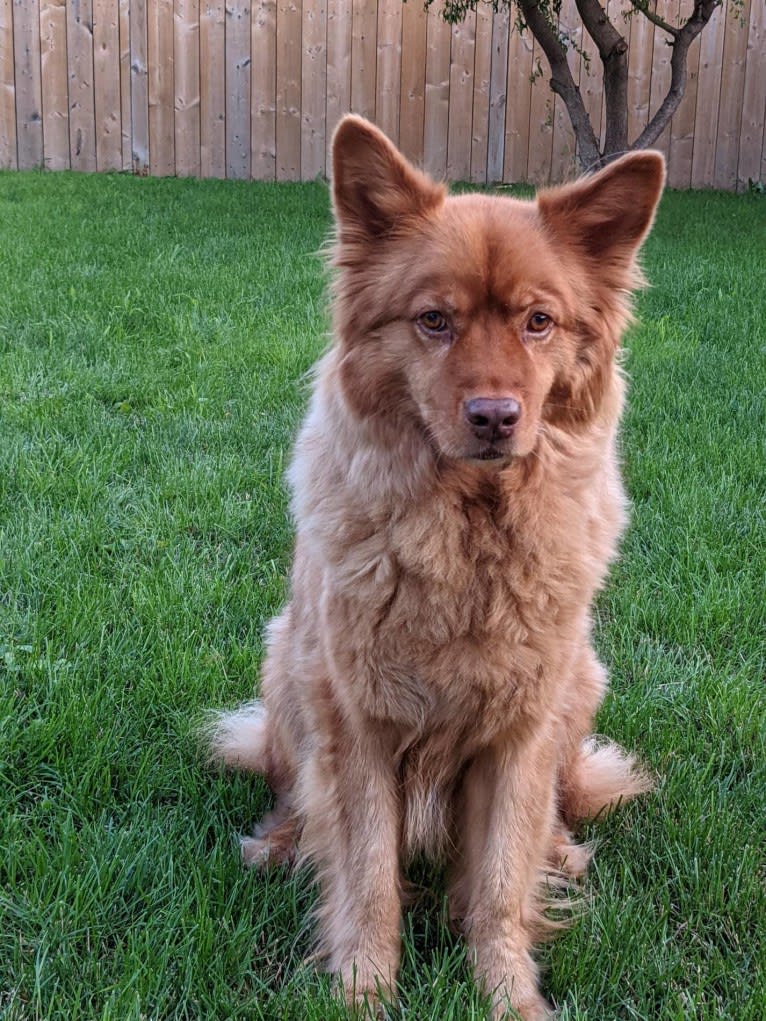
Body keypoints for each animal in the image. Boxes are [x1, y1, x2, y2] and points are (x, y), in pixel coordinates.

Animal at [210, 115, 665, 1016]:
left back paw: (563, 852)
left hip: (581, 683)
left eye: (538, 321)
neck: (470, 539)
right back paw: (278, 845)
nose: (495, 415)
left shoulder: (521, 734)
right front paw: (362, 989)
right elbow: (366, 875)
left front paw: (508, 994)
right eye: (433, 320)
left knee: (556, 814)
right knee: (293, 793)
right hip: (286, 661)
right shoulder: (357, 724)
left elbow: (497, 882)